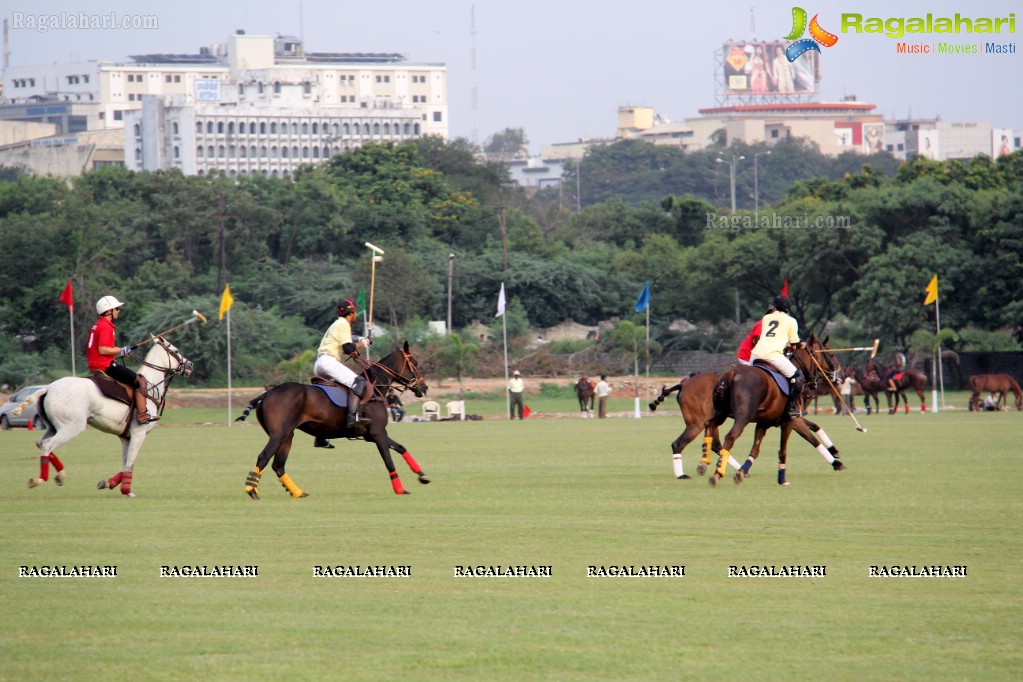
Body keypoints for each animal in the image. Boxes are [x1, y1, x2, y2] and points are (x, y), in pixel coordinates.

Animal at [20, 339, 193, 498]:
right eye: (176, 351)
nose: (190, 365)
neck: (151, 387)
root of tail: (48, 388)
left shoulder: (125, 437)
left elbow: (126, 463)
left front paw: (107, 483)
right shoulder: (138, 433)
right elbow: (130, 462)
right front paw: (127, 491)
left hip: (52, 426)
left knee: (40, 443)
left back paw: (60, 475)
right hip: (71, 427)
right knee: (47, 445)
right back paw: (39, 479)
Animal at [236, 343, 431, 498]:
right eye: (414, 363)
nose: (424, 387)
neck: (376, 387)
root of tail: (266, 394)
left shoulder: (371, 434)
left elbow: (401, 447)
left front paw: (422, 475)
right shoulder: (378, 432)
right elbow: (388, 460)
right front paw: (400, 489)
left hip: (287, 435)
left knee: (278, 465)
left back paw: (298, 492)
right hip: (279, 434)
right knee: (264, 457)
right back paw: (252, 490)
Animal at [646, 368, 847, 480]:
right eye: (828, 354)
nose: (840, 376)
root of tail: (683, 384)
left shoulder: (786, 416)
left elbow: (814, 427)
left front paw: (834, 451)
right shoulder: (791, 417)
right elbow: (811, 437)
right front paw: (836, 462)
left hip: (711, 420)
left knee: (716, 444)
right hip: (697, 423)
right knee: (680, 443)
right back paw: (683, 474)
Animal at [703, 335, 838, 484]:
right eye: (830, 354)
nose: (835, 373)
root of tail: (731, 374)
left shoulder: (765, 422)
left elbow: (755, 450)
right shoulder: (791, 420)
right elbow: (796, 445)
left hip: (721, 413)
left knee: (709, 427)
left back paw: (705, 464)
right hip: (742, 417)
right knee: (729, 437)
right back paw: (717, 472)